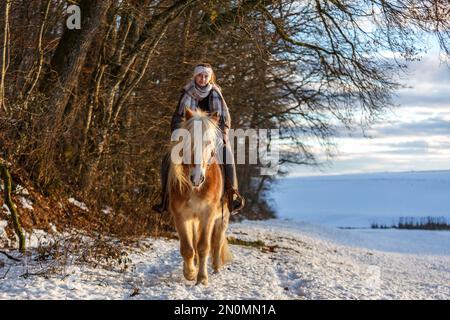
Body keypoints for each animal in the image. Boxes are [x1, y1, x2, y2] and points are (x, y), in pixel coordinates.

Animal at [168, 107, 232, 284]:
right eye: (188, 141)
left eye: (209, 142)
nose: (197, 178)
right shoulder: (181, 215)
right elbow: (187, 248)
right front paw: (190, 273)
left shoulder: (207, 215)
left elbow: (204, 247)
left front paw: (202, 278)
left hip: (222, 218)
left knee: (217, 242)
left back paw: (216, 267)